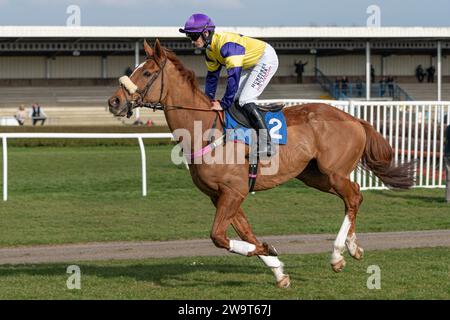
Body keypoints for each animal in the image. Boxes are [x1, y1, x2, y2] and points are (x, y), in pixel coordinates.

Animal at [107, 39, 414, 288]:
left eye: (146, 73)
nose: (114, 101)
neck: (205, 128)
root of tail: (355, 119)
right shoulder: (221, 195)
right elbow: (245, 233)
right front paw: (277, 269)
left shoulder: (233, 192)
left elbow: (219, 237)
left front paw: (270, 251)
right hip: (314, 176)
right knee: (354, 196)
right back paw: (353, 247)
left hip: (334, 171)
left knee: (352, 197)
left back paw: (338, 254)